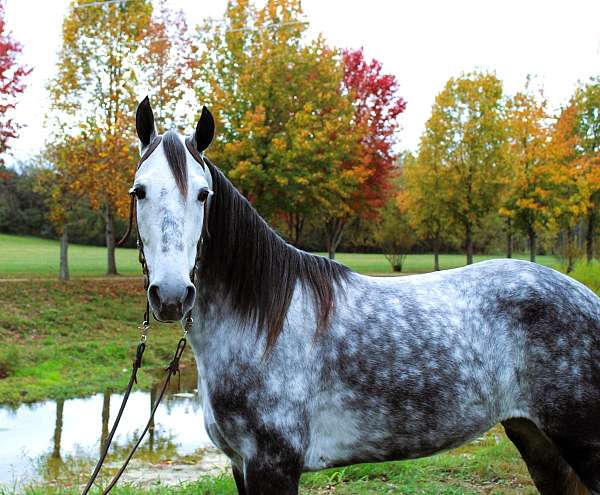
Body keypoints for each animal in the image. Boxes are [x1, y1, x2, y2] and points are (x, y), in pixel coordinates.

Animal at [130, 98, 600, 495]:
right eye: (139, 191)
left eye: (203, 194)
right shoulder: (240, 465)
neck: (262, 324)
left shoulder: (272, 464)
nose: (172, 294)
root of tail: (587, 298)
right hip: (536, 440)